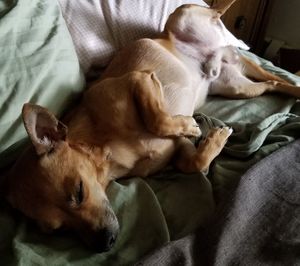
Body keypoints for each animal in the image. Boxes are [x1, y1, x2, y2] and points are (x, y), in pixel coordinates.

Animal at [4, 0, 300, 252]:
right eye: (58, 230)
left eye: (79, 192)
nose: (104, 244)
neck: (108, 149)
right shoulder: (179, 149)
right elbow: (193, 163)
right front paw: (209, 139)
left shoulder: (139, 79)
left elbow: (157, 118)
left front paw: (192, 126)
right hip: (238, 88)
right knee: (272, 82)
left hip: (183, 16)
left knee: (217, 18)